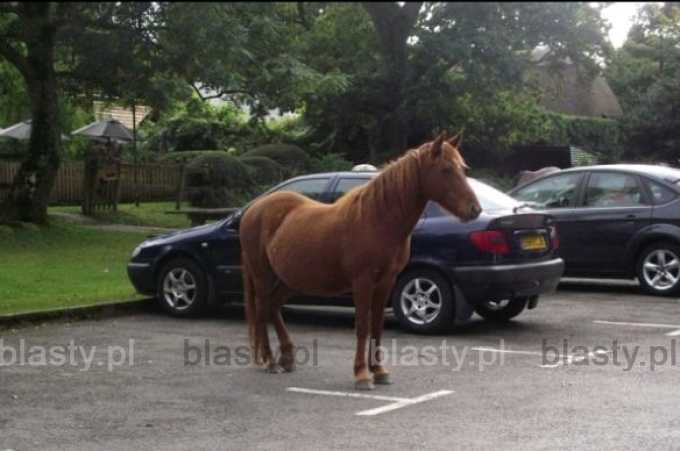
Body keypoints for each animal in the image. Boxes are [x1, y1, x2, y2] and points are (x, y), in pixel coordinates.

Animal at [242, 132, 480, 392]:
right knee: (262, 310)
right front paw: (362, 375)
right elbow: (363, 326)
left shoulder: (386, 282)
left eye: (463, 168)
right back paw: (270, 362)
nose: (475, 209)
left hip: (289, 279)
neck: (377, 219)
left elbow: (376, 325)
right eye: (446, 169)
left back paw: (287, 358)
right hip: (262, 276)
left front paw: (379, 371)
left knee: (273, 307)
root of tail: (252, 209)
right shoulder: (362, 282)